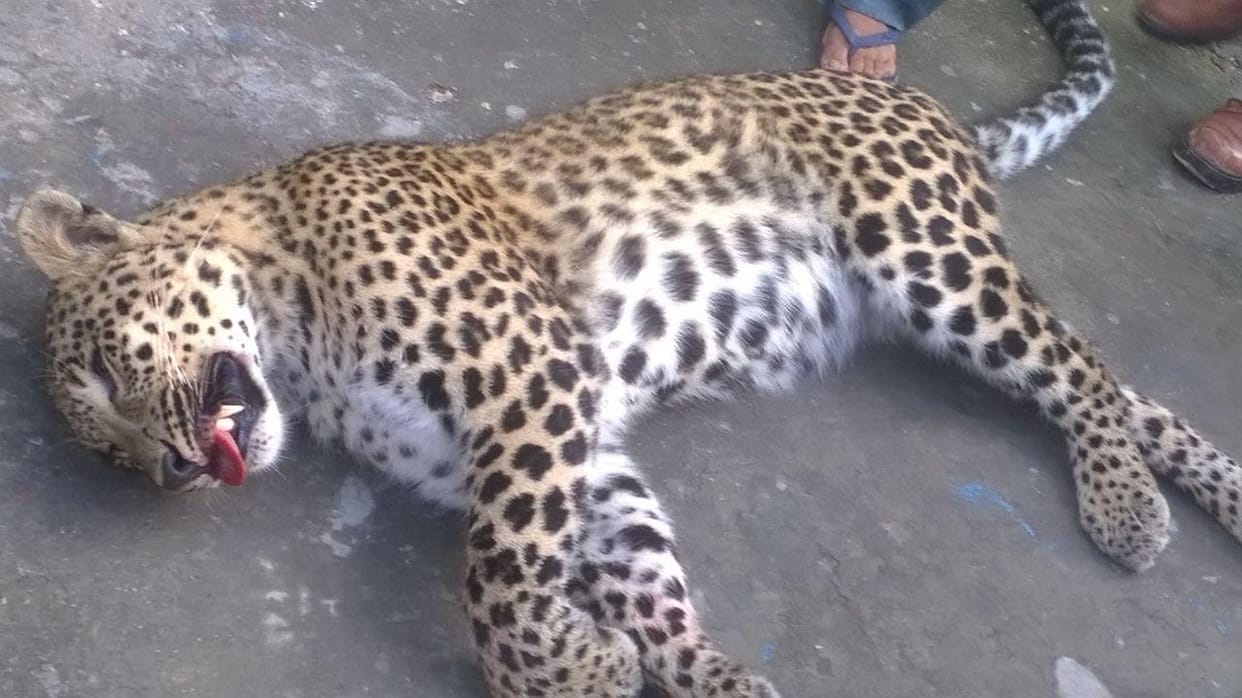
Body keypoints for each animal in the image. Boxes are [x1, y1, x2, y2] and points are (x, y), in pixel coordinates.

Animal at [12, 0, 1241, 696]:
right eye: (113, 454)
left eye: (114, 374)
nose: (172, 469)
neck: (295, 336)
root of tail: (933, 113)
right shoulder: (579, 444)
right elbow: (646, 581)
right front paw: (702, 675)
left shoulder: (530, 373)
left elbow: (497, 579)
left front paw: (579, 667)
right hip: (935, 298)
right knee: (1124, 385)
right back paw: (1222, 491)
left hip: (925, 254)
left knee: (1079, 367)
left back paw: (1128, 511)